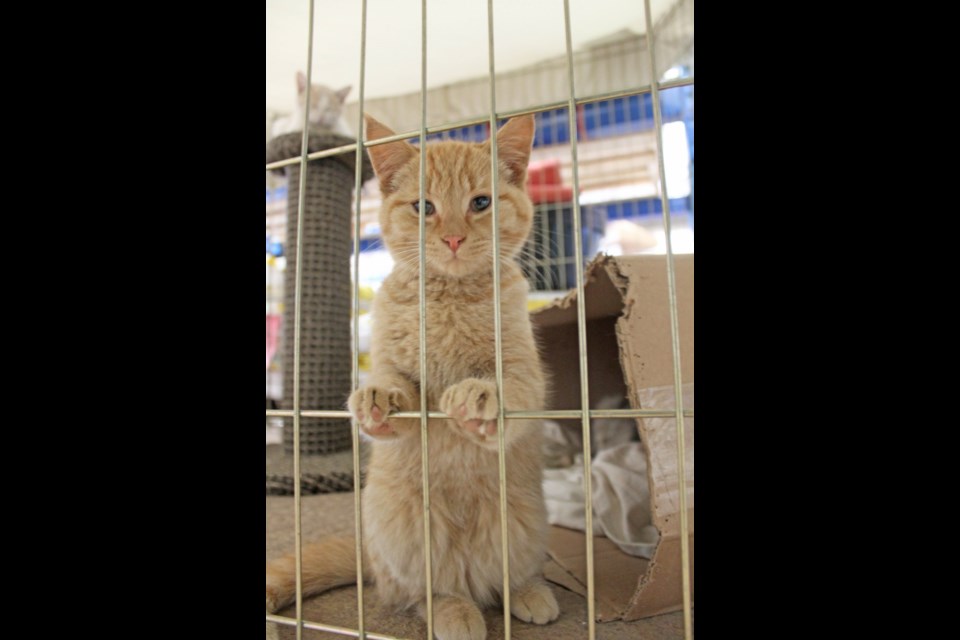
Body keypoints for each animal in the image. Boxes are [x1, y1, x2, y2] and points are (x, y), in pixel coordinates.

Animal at [264, 112, 564, 636]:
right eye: (424, 207)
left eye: (480, 203)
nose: (453, 238)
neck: (449, 297)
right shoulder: (393, 363)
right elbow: (396, 392)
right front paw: (376, 401)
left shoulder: (525, 368)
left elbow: (515, 390)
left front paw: (479, 398)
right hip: (402, 537)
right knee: (421, 591)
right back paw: (454, 609)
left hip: (526, 525)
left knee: (508, 575)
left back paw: (528, 592)